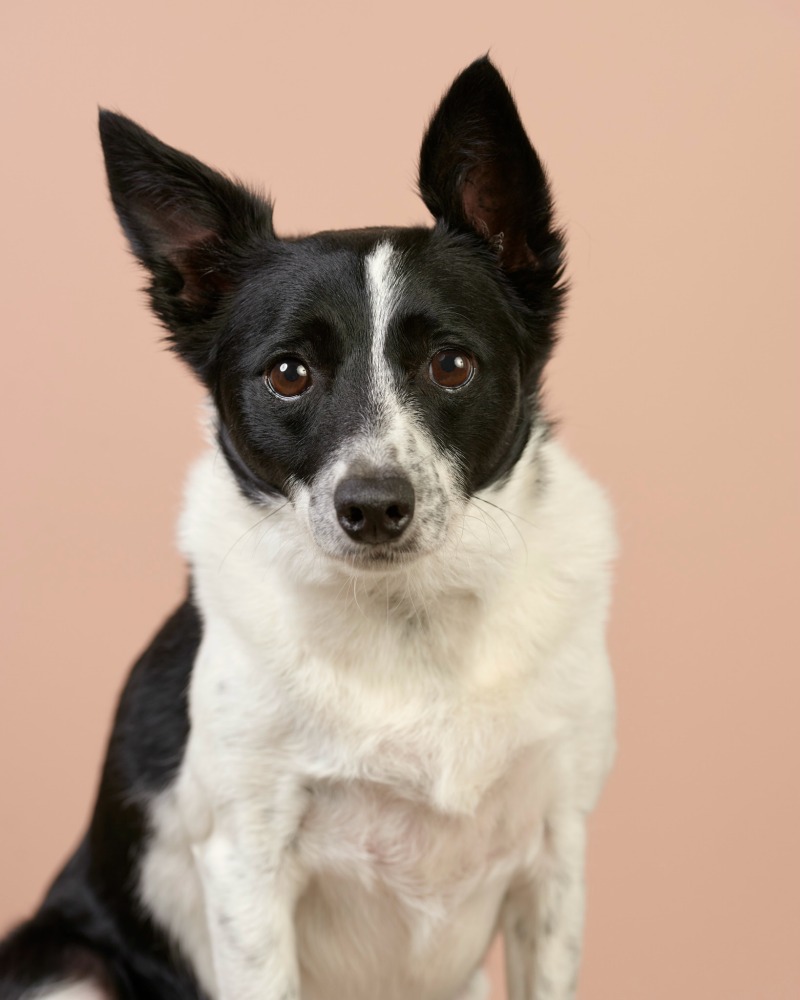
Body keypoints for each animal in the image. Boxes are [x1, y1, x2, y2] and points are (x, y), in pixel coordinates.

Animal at [0, 56, 620, 1000]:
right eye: (289, 374)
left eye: (452, 364)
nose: (373, 506)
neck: (410, 624)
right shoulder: (248, 867)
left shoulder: (555, 854)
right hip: (68, 969)